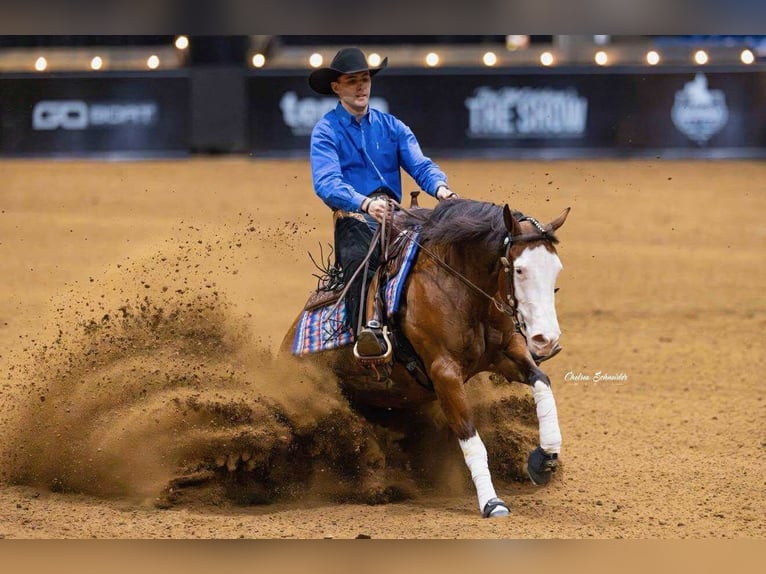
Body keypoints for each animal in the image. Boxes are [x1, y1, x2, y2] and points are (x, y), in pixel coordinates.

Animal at [281, 198, 570, 518]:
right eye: (519, 270)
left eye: (556, 268)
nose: (547, 339)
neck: (459, 286)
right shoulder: (444, 372)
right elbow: (470, 436)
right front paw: (492, 502)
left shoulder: (508, 353)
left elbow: (542, 382)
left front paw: (544, 458)